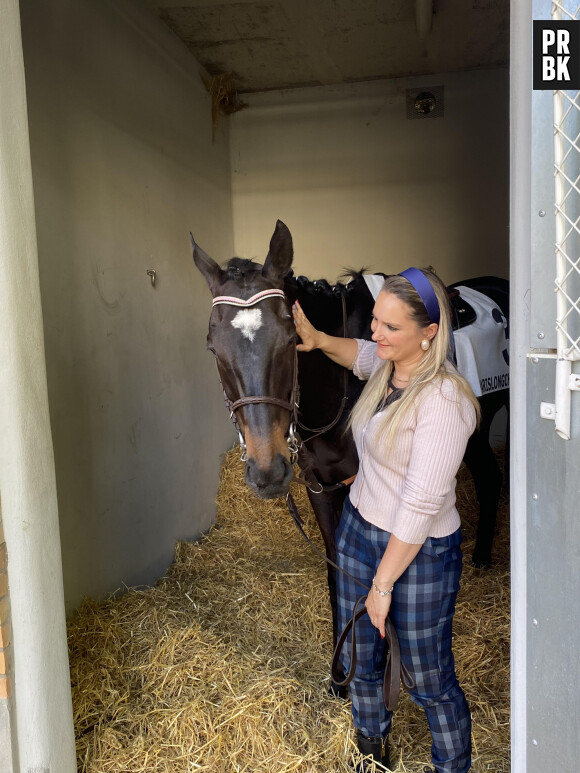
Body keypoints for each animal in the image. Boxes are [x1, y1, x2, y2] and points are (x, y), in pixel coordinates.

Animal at [193, 219, 510, 668]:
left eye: (289, 339)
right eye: (213, 347)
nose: (267, 470)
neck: (338, 388)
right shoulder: (321, 485)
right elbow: (337, 569)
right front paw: (340, 666)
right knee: (488, 477)